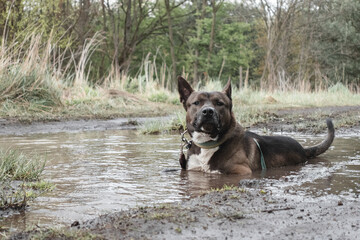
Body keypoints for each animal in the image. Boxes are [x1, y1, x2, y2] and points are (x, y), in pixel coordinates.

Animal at [177, 77, 334, 176]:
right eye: (196, 103)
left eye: (219, 103)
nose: (208, 111)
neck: (208, 143)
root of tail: (302, 148)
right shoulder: (192, 170)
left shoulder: (241, 171)